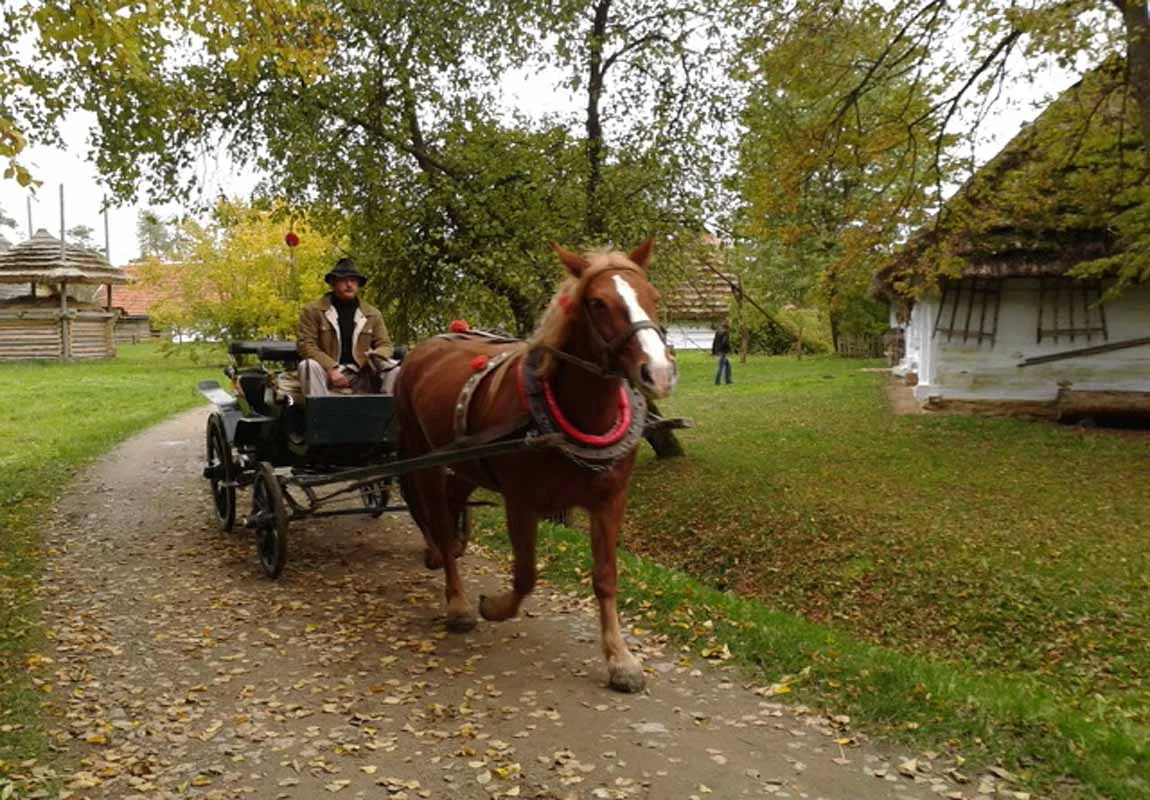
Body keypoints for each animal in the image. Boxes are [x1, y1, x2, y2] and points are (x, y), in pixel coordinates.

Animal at [400, 239, 676, 694]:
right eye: (597, 303)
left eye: (653, 296)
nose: (659, 372)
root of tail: (424, 348)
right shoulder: (522, 502)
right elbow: (526, 574)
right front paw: (493, 607)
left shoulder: (610, 501)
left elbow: (606, 577)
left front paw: (620, 660)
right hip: (427, 461)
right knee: (438, 519)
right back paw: (457, 601)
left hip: (465, 463)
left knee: (452, 511)